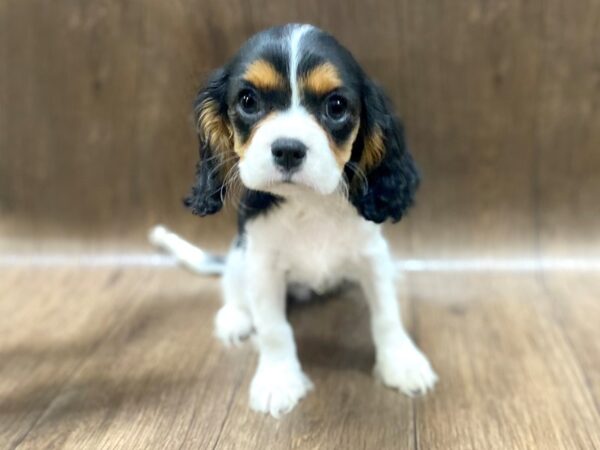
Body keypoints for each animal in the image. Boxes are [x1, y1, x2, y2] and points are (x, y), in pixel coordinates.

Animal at [162, 23, 436, 418]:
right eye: (248, 101)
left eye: (336, 106)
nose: (288, 149)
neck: (309, 204)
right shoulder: (262, 266)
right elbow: (274, 329)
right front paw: (279, 380)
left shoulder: (371, 257)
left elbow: (386, 314)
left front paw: (402, 362)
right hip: (239, 255)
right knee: (233, 286)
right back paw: (235, 318)